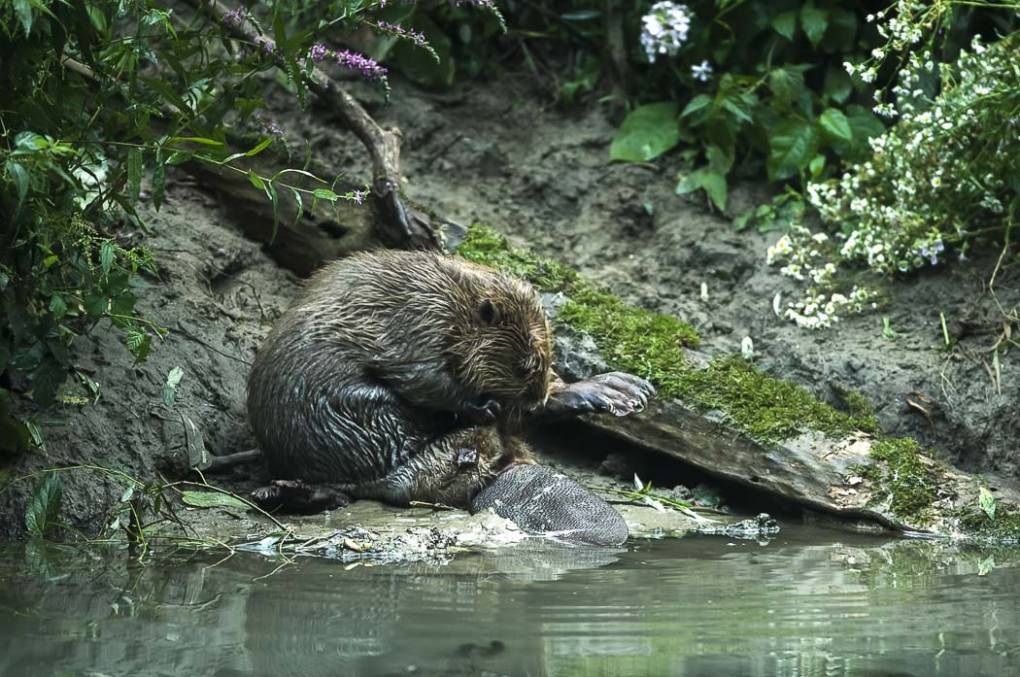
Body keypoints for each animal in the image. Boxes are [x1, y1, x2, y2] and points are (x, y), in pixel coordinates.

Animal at [250, 248, 656, 538]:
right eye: (524, 365)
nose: (531, 401)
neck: (455, 302)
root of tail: (502, 469)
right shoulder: (417, 330)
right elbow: (424, 379)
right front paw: (486, 406)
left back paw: (623, 390)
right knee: (386, 483)